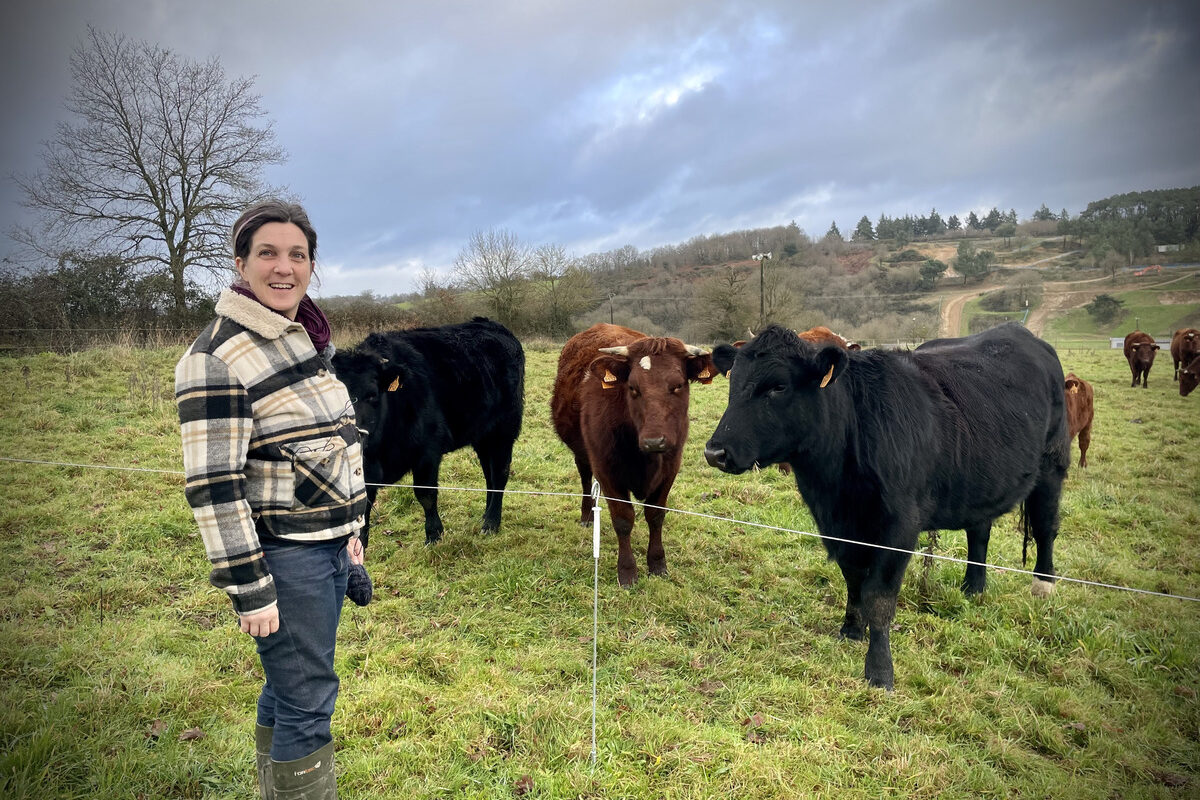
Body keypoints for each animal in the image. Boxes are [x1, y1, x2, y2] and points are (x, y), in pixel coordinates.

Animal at [338, 319, 525, 551]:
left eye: (371, 394)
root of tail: (490, 324)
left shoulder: (427, 452)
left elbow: (426, 495)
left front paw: (434, 535)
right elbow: (361, 510)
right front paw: (358, 549)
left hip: (503, 431)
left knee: (499, 474)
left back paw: (491, 523)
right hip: (482, 436)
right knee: (488, 475)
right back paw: (486, 515)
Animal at [549, 321, 710, 585]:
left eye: (677, 385)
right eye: (633, 388)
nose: (654, 441)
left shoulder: (670, 467)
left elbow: (655, 515)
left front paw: (657, 563)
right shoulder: (606, 470)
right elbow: (623, 519)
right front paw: (627, 571)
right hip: (582, 453)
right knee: (584, 478)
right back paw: (587, 515)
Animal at [700, 323, 1070, 690]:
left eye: (778, 386)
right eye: (732, 382)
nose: (715, 452)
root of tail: (1019, 332)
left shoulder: (900, 527)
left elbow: (879, 596)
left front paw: (879, 670)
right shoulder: (837, 525)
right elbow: (853, 580)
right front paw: (851, 630)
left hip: (1052, 465)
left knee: (1045, 526)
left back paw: (1043, 585)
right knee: (980, 530)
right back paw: (973, 587)